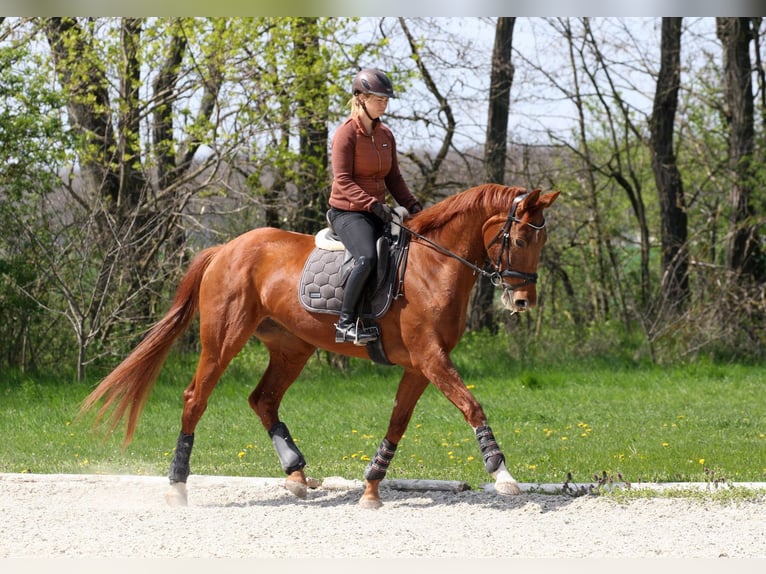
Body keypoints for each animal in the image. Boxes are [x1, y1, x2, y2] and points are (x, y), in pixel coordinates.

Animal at [80, 183, 560, 509]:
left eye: (542, 241)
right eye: (519, 240)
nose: (522, 301)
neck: (434, 264)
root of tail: (225, 249)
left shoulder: (419, 365)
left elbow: (397, 423)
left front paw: (371, 487)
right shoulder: (430, 357)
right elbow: (471, 406)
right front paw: (503, 474)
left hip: (292, 347)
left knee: (263, 398)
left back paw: (296, 474)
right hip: (223, 341)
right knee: (196, 398)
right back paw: (178, 486)